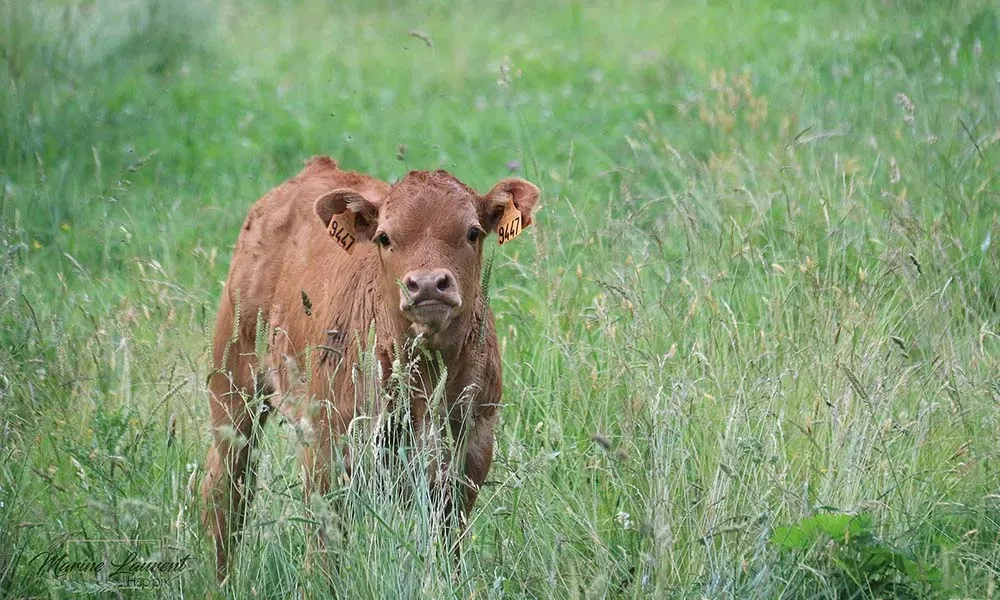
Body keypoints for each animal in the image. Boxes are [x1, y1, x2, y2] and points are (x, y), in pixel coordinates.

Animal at [200, 156, 539, 579]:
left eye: (473, 232)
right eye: (384, 237)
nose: (428, 284)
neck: (424, 382)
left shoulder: (470, 452)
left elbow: (448, 548)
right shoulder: (328, 451)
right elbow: (324, 555)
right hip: (232, 385)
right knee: (224, 491)